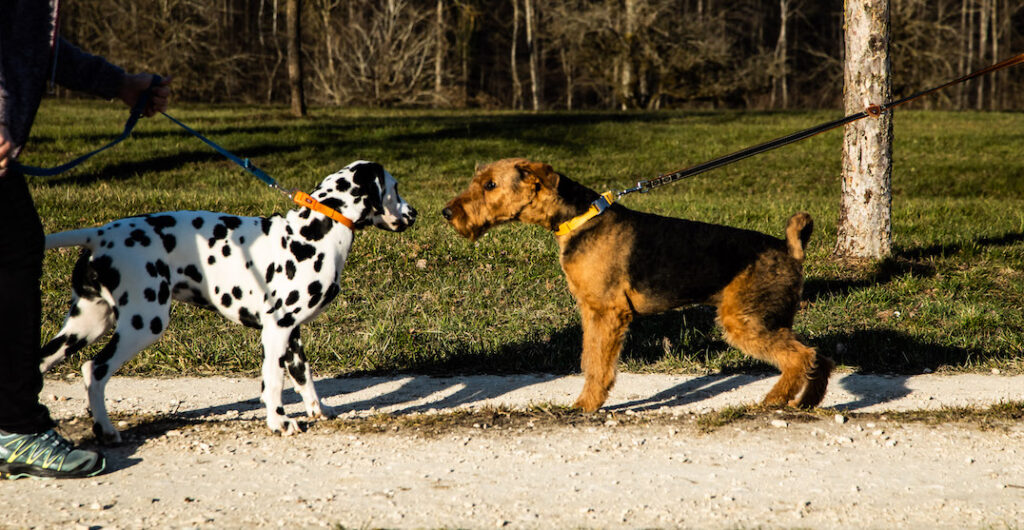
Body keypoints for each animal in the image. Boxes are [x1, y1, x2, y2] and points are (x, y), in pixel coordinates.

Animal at [38, 161, 415, 444]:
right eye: (395, 188)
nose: (415, 212)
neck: (315, 231)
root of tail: (99, 233)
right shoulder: (277, 329)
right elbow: (273, 381)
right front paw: (279, 422)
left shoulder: (292, 334)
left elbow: (303, 375)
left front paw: (317, 409)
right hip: (143, 325)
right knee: (95, 369)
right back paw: (104, 429)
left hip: (85, 326)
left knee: (44, 362)